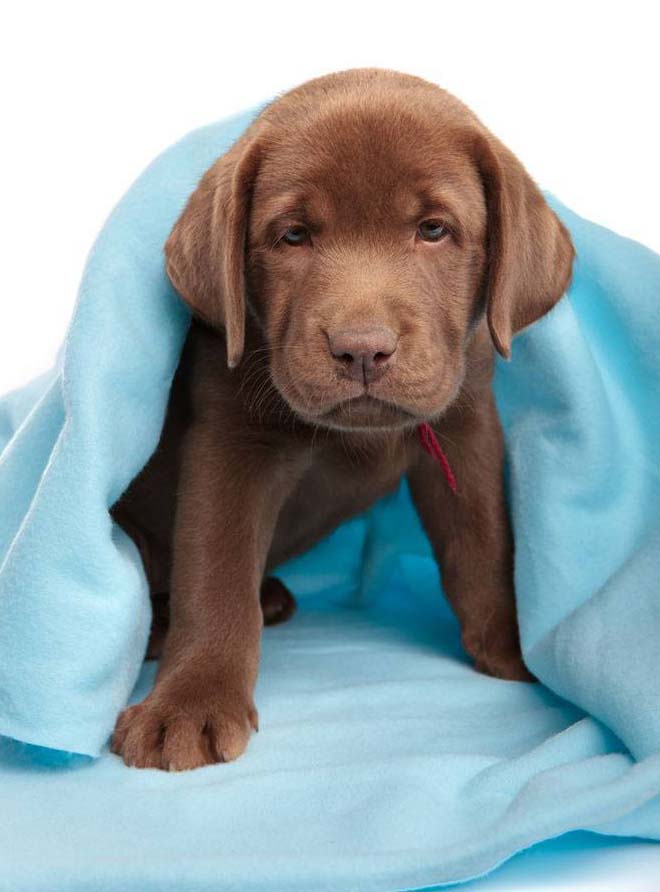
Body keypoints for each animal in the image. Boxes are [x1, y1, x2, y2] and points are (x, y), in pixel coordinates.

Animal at [109, 66, 572, 772]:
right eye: (293, 234)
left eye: (433, 230)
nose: (361, 349)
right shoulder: (228, 443)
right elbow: (214, 573)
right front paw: (189, 705)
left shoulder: (466, 429)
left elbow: (484, 543)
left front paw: (515, 644)